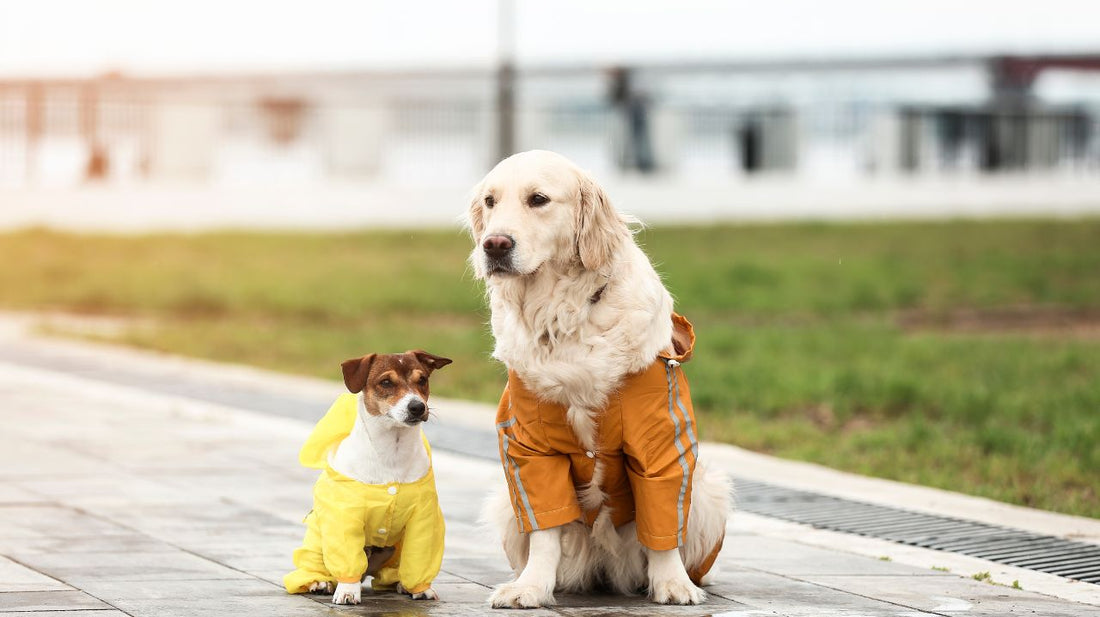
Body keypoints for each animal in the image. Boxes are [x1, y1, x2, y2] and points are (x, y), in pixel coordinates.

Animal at [464, 150, 730, 607]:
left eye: (538, 199)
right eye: (490, 201)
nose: (494, 244)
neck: (564, 316)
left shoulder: (661, 445)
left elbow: (663, 525)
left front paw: (673, 584)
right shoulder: (528, 448)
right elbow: (545, 528)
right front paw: (531, 587)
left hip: (709, 491)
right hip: (504, 504)